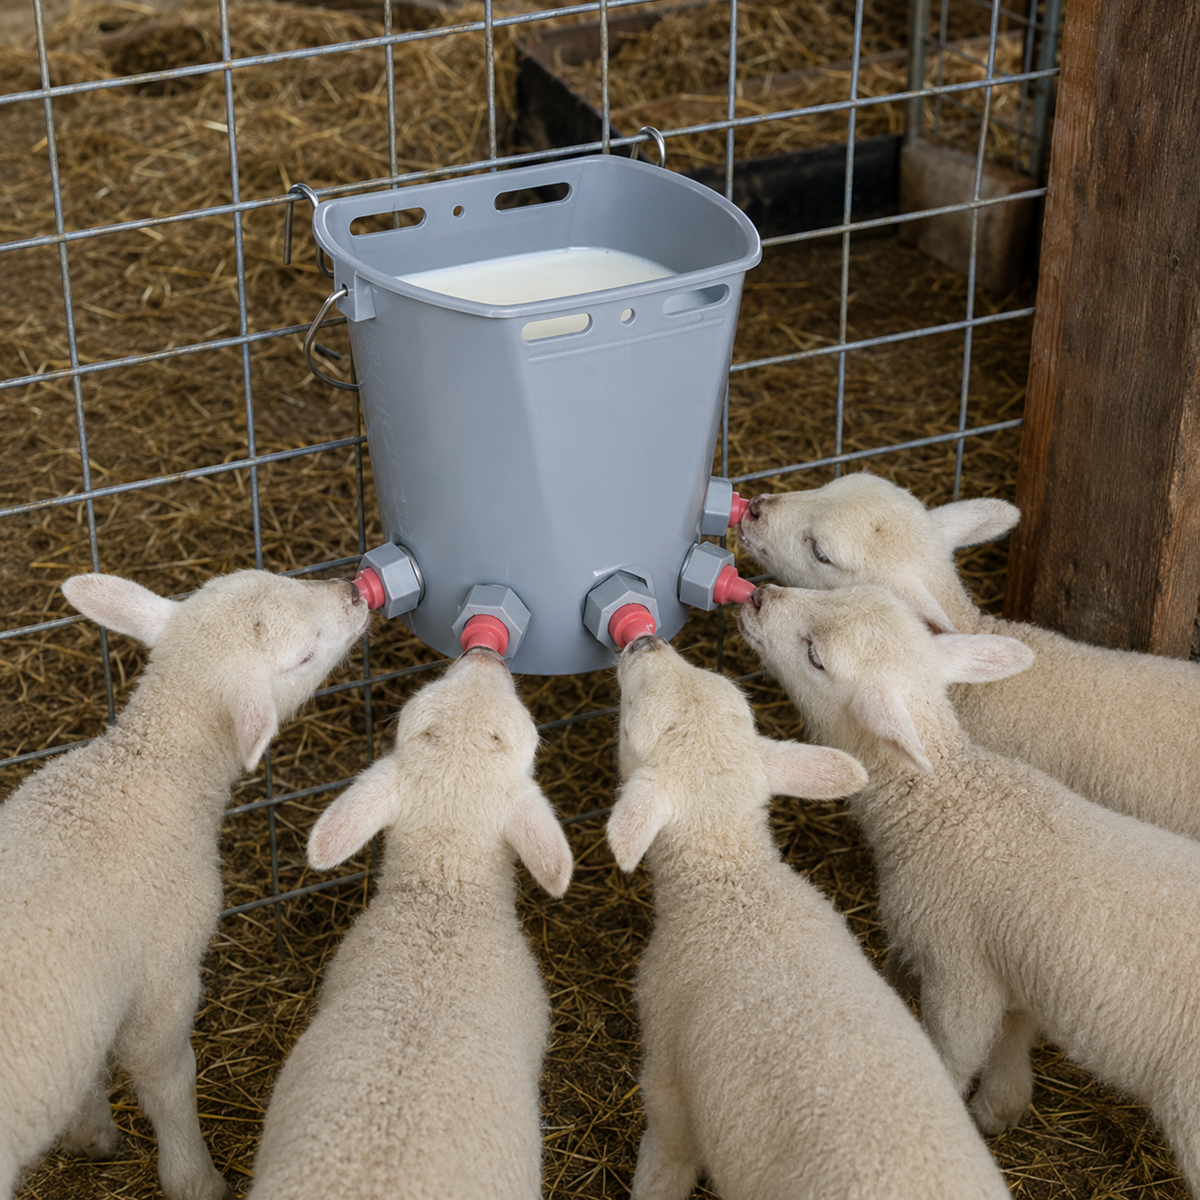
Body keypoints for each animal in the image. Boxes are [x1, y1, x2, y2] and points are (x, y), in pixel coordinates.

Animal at [0, 569, 369, 1200]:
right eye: (305, 654)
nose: (354, 591)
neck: (145, 771)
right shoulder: (163, 971)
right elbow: (165, 1076)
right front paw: (195, 1178)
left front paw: (89, 1132)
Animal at [739, 582, 1200, 1194]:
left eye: (815, 656)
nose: (759, 596)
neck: (948, 803)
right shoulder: (1015, 962)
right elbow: (1013, 1030)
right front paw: (1002, 1106)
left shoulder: (958, 969)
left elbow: (958, 1051)